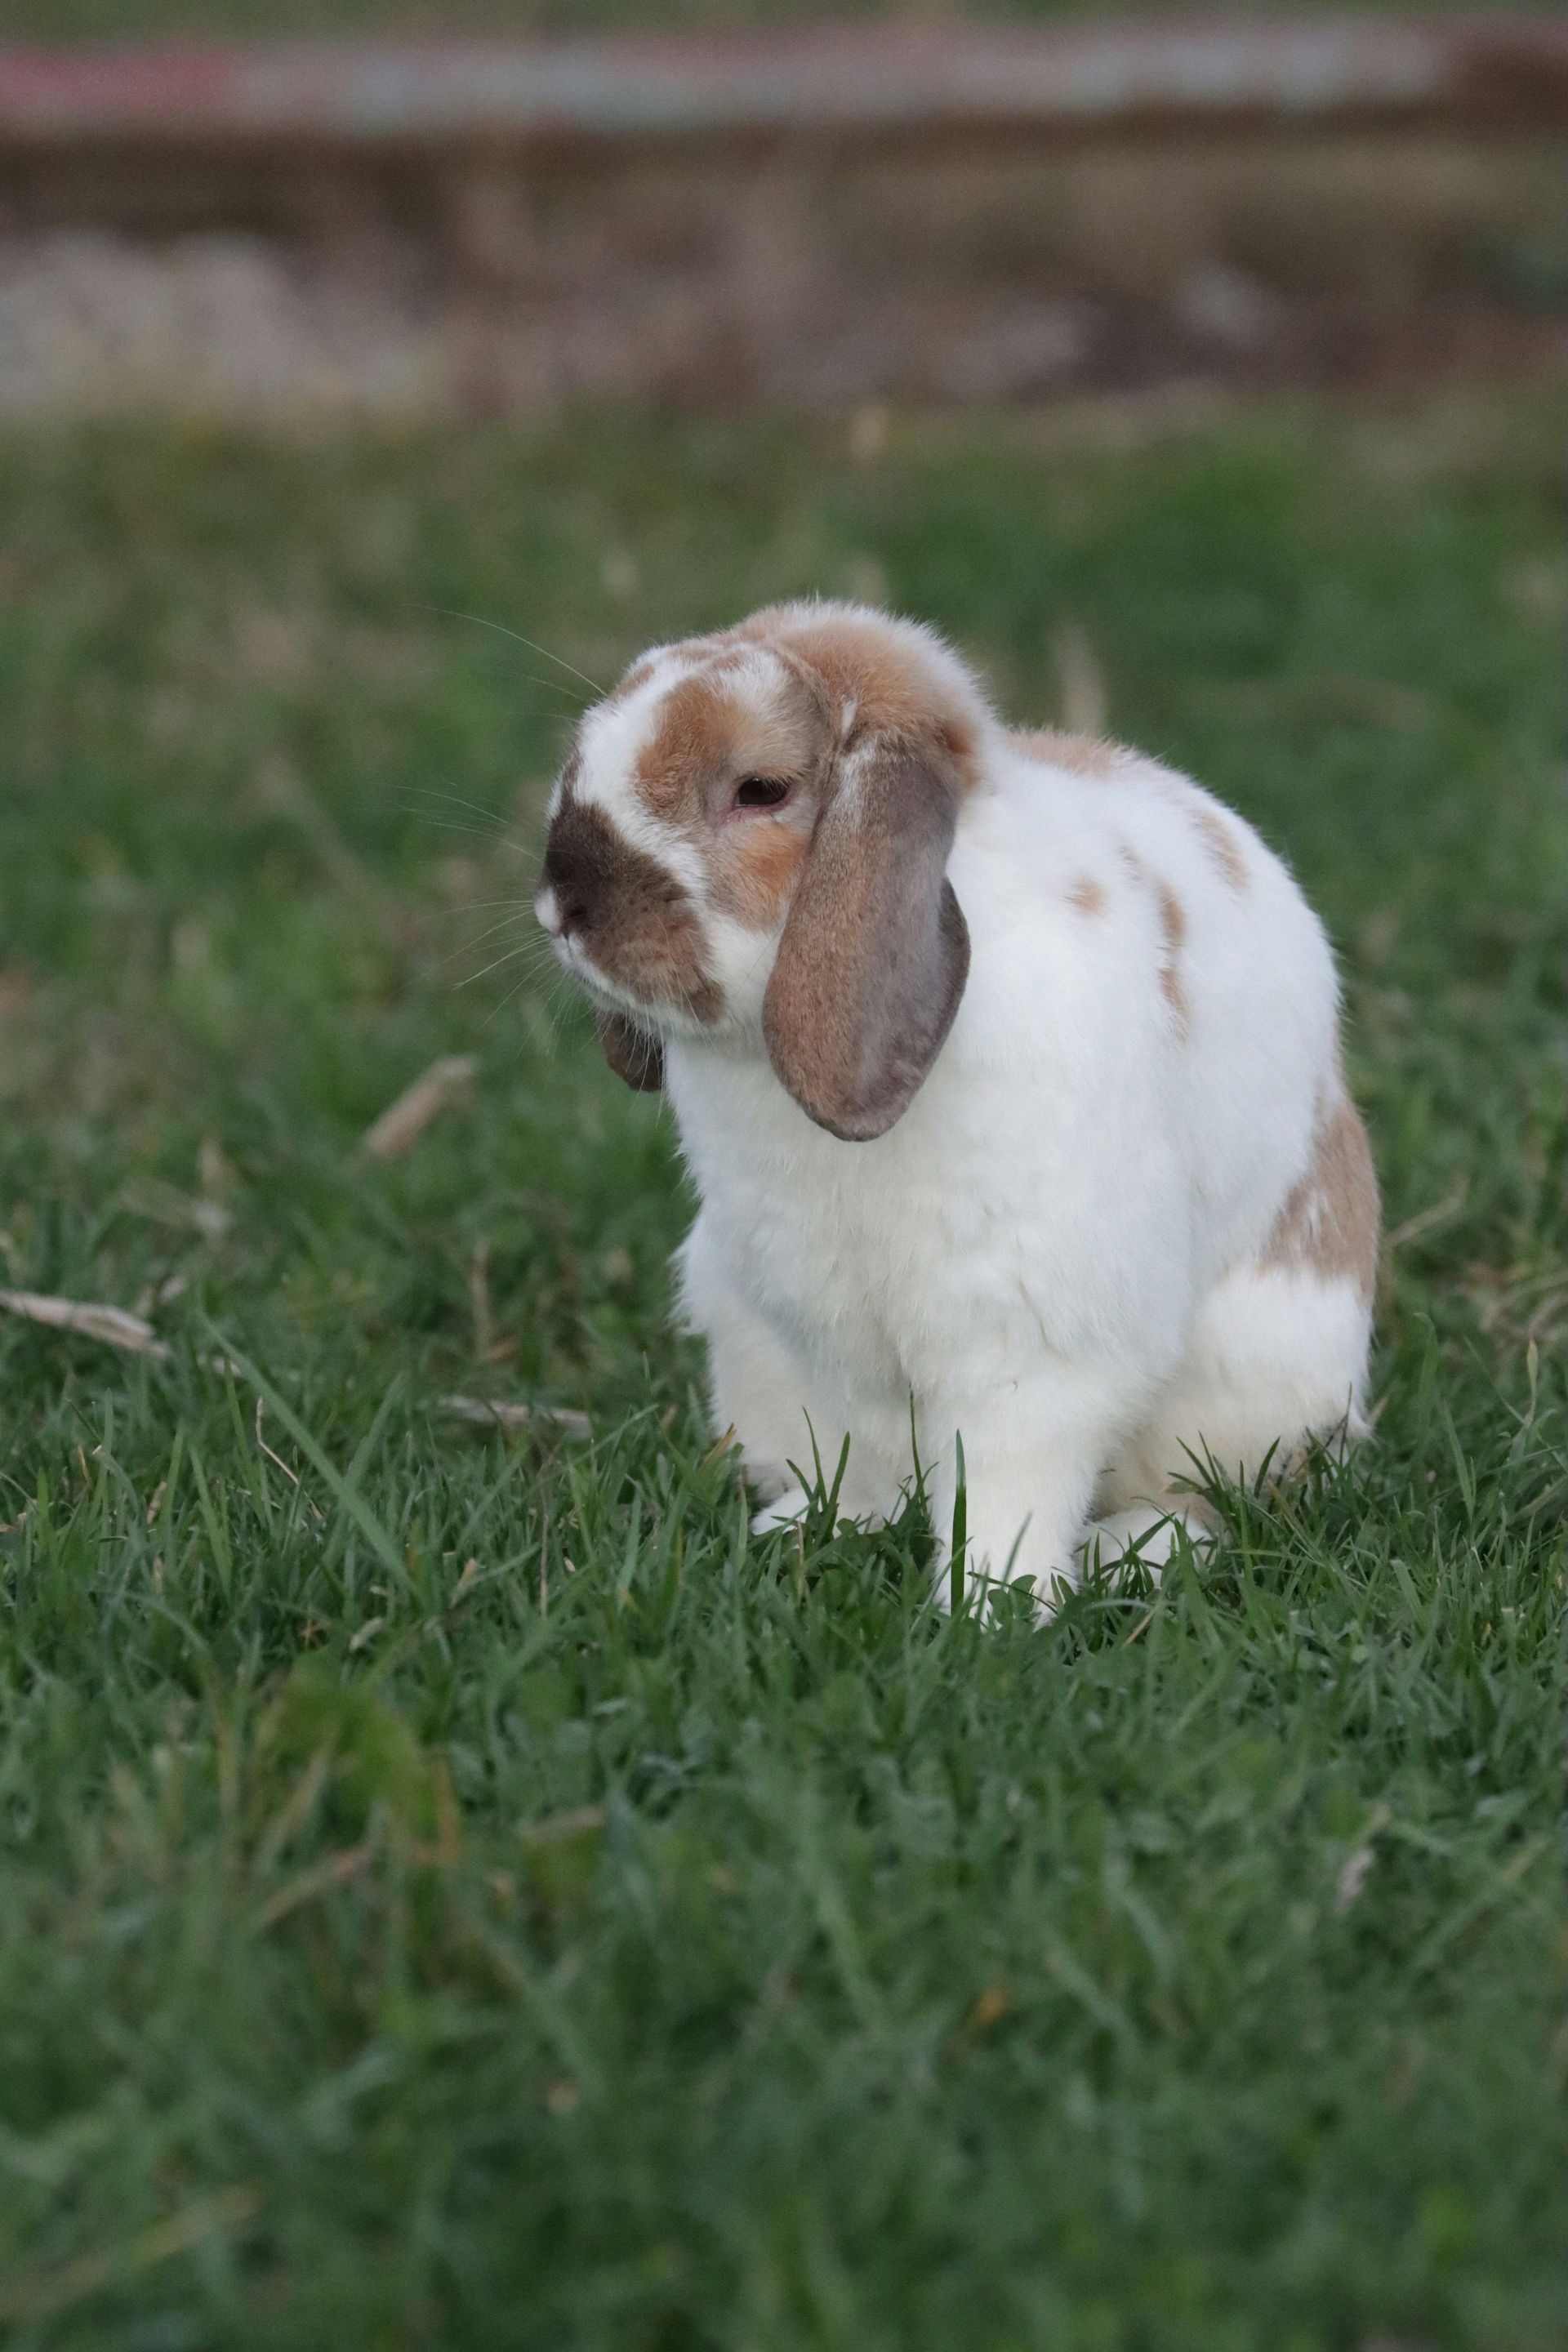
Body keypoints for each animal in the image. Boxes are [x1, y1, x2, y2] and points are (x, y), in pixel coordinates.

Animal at [535, 600, 1378, 1613]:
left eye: (760, 789)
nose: (566, 897)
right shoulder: (831, 1323)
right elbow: (874, 1452)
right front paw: (844, 1529)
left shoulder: (1032, 1342)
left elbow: (1007, 1483)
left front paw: (988, 1610)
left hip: (1245, 1395)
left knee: (1216, 1504)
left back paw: (1130, 1552)